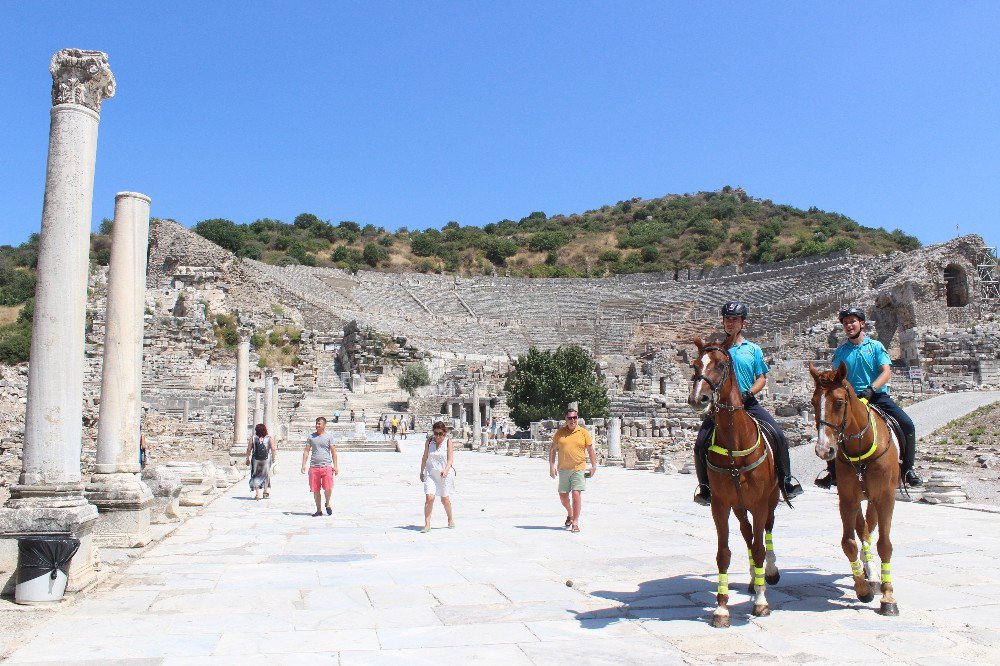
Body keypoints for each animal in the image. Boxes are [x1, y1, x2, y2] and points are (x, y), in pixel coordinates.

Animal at [688, 334, 780, 624]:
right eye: (695, 365)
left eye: (720, 364)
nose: (699, 398)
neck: (734, 444)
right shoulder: (720, 504)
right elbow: (724, 553)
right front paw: (721, 608)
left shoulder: (760, 502)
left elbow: (760, 547)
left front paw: (761, 602)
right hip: (740, 506)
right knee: (748, 533)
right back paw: (753, 579)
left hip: (771, 499)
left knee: (766, 531)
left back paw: (769, 573)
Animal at [808, 360, 904, 616]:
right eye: (812, 403)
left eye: (839, 402)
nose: (824, 450)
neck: (860, 448)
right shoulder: (847, 499)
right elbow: (848, 542)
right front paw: (863, 587)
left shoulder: (885, 498)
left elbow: (884, 544)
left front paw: (888, 597)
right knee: (863, 529)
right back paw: (869, 572)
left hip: (873, 498)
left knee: (870, 528)